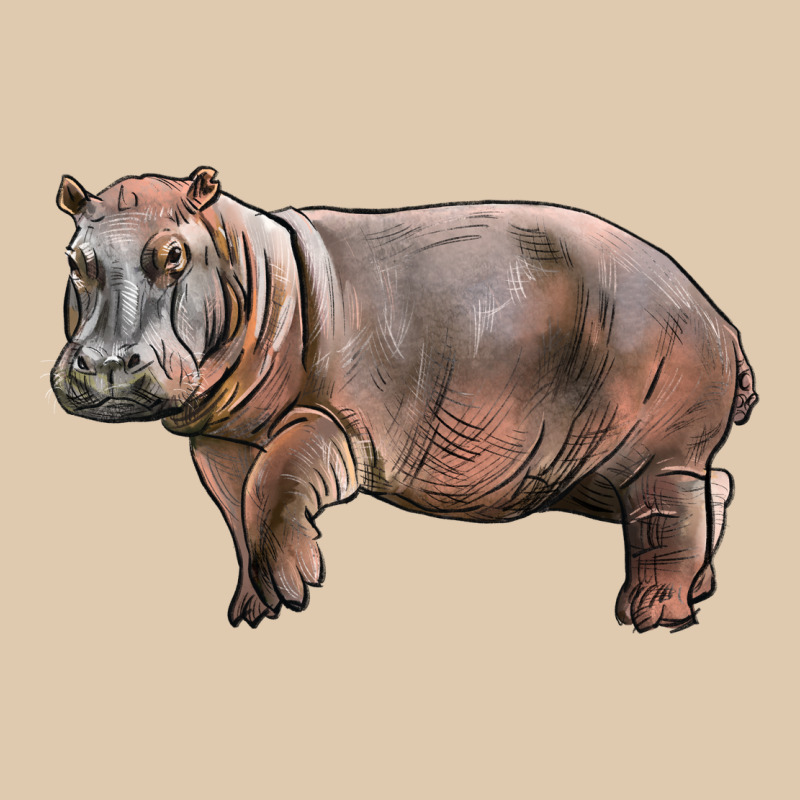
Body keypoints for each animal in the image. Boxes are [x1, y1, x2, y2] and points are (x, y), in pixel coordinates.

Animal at [51, 167, 757, 632]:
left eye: (174, 253)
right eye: (73, 258)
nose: (107, 364)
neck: (245, 260)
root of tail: (720, 317)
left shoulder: (333, 421)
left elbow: (273, 484)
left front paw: (293, 589)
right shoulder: (221, 438)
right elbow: (238, 510)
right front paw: (253, 611)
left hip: (658, 449)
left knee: (669, 513)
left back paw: (650, 617)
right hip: (589, 468)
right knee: (711, 489)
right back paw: (700, 590)